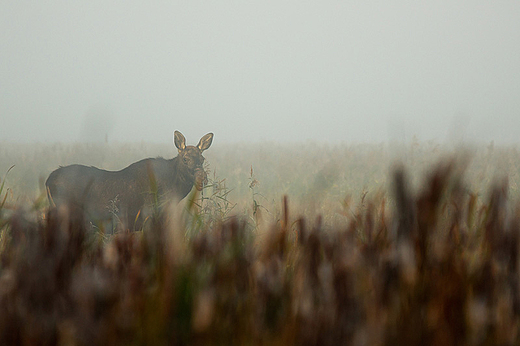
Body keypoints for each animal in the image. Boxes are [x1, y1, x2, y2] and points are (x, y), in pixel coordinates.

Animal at [45, 131, 212, 231]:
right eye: (185, 159)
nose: (202, 178)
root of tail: (47, 181)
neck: (171, 189)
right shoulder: (146, 217)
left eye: (202, 159)